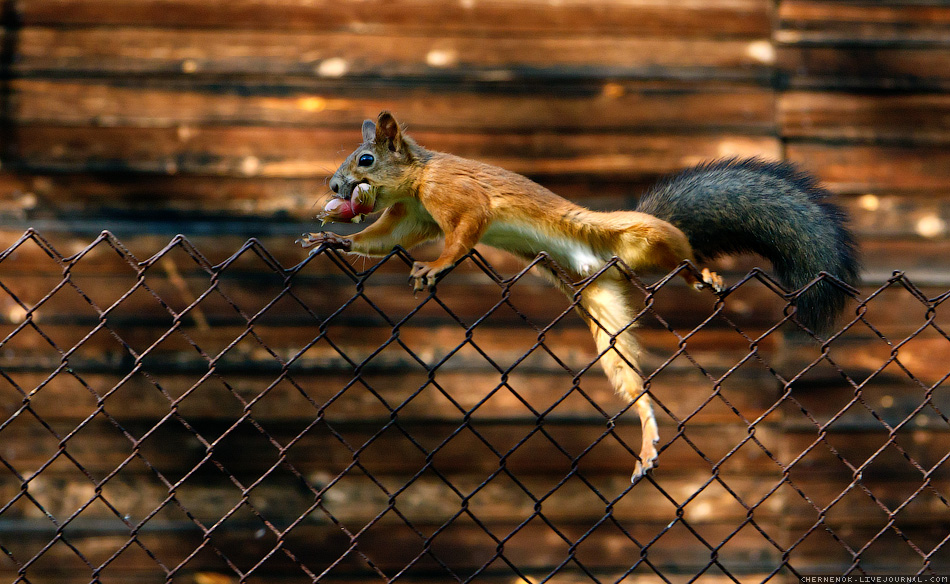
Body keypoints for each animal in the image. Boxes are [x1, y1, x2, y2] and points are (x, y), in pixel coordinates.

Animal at [299, 111, 860, 483]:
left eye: (366, 158)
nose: (333, 185)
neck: (420, 178)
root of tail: (604, 260)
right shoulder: (412, 216)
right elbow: (381, 239)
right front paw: (335, 240)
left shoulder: (457, 199)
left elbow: (463, 236)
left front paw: (436, 267)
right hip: (605, 311)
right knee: (631, 379)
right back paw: (647, 436)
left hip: (645, 237)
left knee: (683, 254)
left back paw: (702, 274)